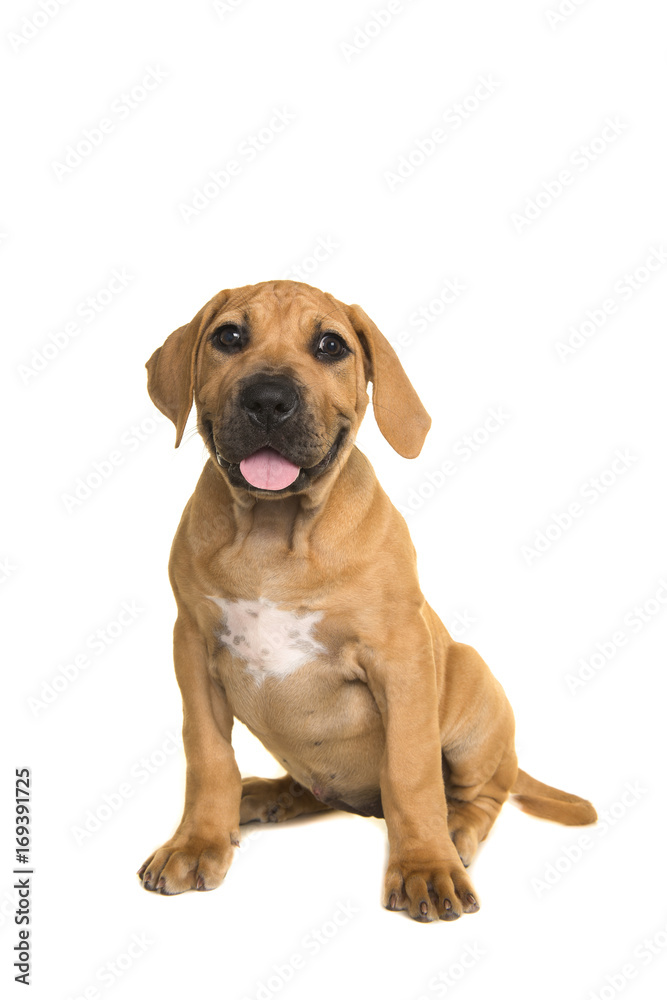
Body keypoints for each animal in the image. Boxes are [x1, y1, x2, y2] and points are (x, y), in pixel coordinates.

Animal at [138, 280, 596, 920]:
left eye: (331, 346)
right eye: (228, 336)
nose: (269, 400)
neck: (274, 533)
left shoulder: (400, 657)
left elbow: (411, 771)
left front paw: (425, 866)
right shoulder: (193, 647)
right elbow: (206, 756)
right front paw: (198, 841)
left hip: (474, 685)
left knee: (483, 796)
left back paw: (454, 832)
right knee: (316, 788)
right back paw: (265, 795)